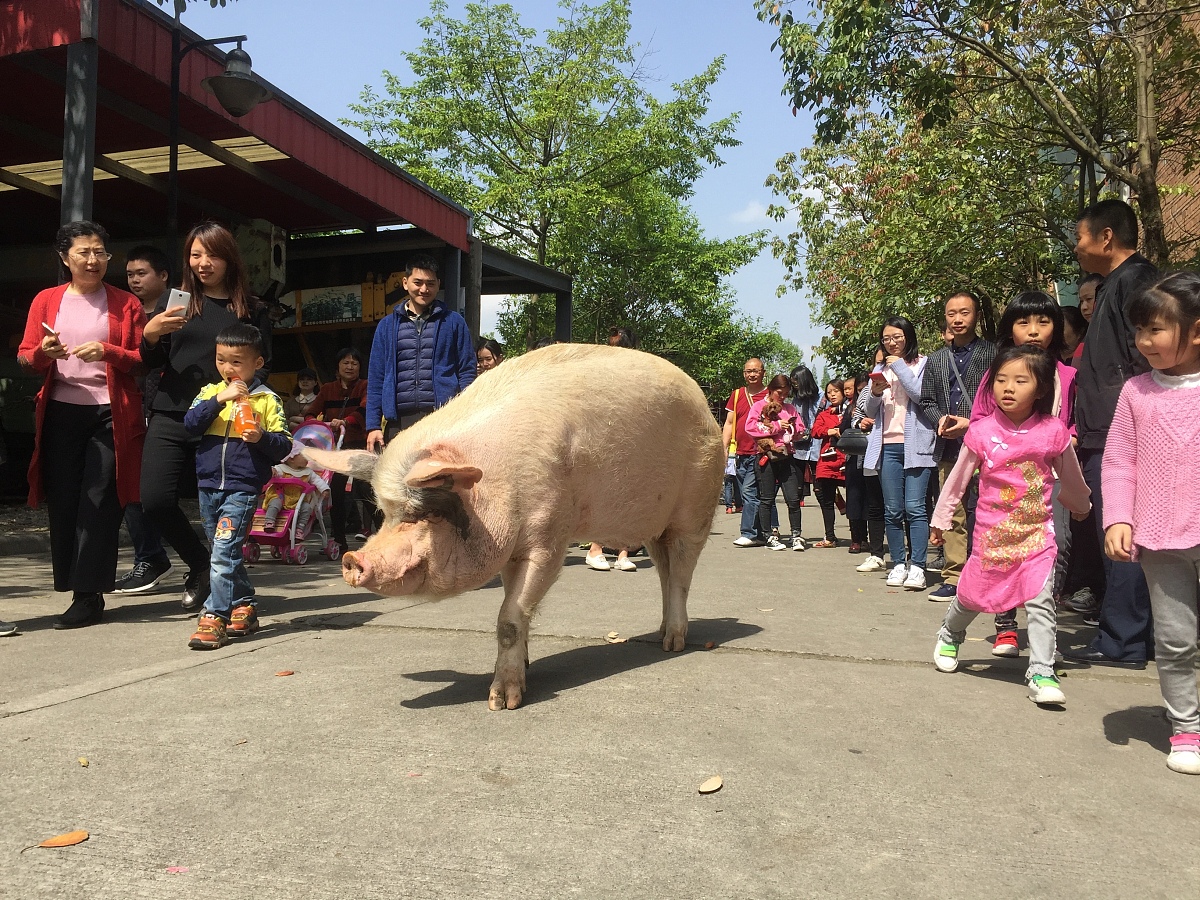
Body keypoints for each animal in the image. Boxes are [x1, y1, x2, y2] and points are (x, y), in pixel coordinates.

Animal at [309, 343, 720, 710]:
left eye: (422, 511)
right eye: (386, 512)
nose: (352, 560)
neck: (496, 481)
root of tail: (707, 408)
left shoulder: (548, 539)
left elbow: (508, 617)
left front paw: (500, 704)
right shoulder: (510, 547)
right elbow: (515, 608)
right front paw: (524, 667)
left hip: (695, 511)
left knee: (681, 577)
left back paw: (673, 644)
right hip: (657, 530)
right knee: (665, 574)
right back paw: (662, 633)